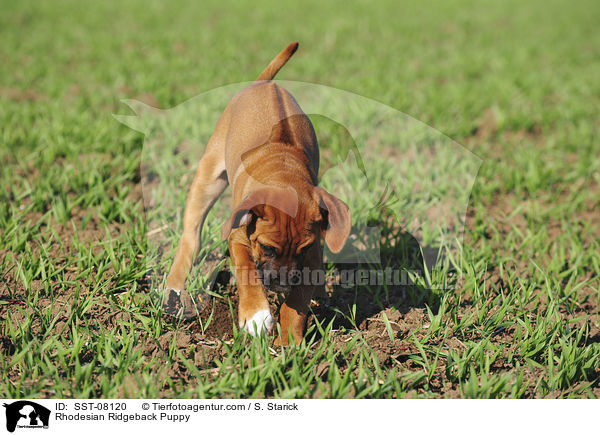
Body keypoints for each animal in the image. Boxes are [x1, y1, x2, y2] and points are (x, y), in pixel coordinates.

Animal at [164, 42, 352, 346]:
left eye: (302, 249)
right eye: (267, 247)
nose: (282, 284)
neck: (283, 173)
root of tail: (264, 83)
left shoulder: (312, 254)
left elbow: (298, 299)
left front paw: (289, 341)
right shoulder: (238, 235)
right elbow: (246, 270)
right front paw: (256, 315)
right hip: (208, 176)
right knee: (190, 236)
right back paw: (174, 288)